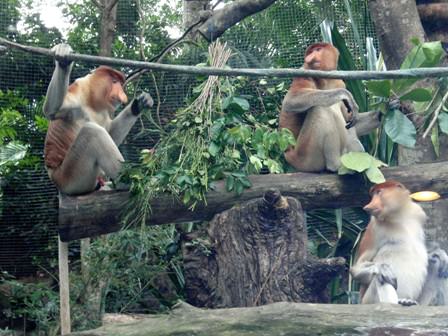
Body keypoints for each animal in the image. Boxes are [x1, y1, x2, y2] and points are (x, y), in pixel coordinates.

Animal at [43, 45, 155, 197]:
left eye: (120, 83)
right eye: (114, 82)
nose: (122, 94)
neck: (92, 101)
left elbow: (111, 134)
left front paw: (140, 103)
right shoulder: (78, 93)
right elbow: (52, 110)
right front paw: (63, 60)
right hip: (70, 178)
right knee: (92, 132)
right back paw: (135, 183)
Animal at [280, 42, 378, 172]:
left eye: (317, 50)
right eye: (310, 52)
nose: (309, 58)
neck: (325, 79)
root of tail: (288, 154)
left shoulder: (339, 82)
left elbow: (350, 119)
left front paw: (383, 111)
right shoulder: (303, 72)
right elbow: (291, 100)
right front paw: (346, 95)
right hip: (304, 156)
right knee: (321, 108)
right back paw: (336, 165)